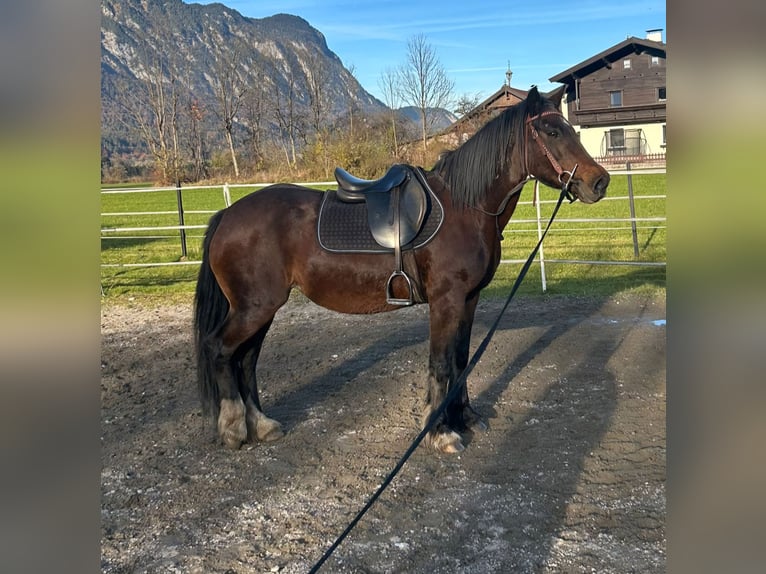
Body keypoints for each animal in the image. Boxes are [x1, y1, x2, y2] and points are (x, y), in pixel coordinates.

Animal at [194, 86, 609, 454]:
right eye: (552, 132)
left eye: (571, 129)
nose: (600, 182)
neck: (465, 207)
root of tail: (228, 215)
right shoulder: (446, 301)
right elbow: (441, 364)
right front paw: (441, 432)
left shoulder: (469, 300)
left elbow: (461, 359)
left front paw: (464, 418)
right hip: (255, 308)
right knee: (220, 349)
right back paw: (234, 430)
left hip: (261, 309)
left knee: (245, 360)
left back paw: (262, 426)